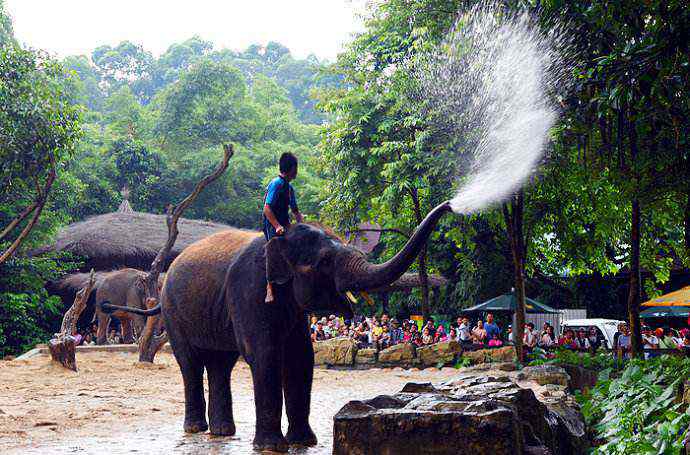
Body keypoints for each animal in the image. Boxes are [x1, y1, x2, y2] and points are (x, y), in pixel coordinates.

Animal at [99, 202, 448, 452]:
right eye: (325, 261)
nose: (449, 206)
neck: (281, 238)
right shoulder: (250, 290)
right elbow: (264, 355)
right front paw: (272, 448)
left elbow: (301, 359)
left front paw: (304, 443)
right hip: (173, 311)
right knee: (191, 363)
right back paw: (197, 430)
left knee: (220, 364)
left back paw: (222, 432)